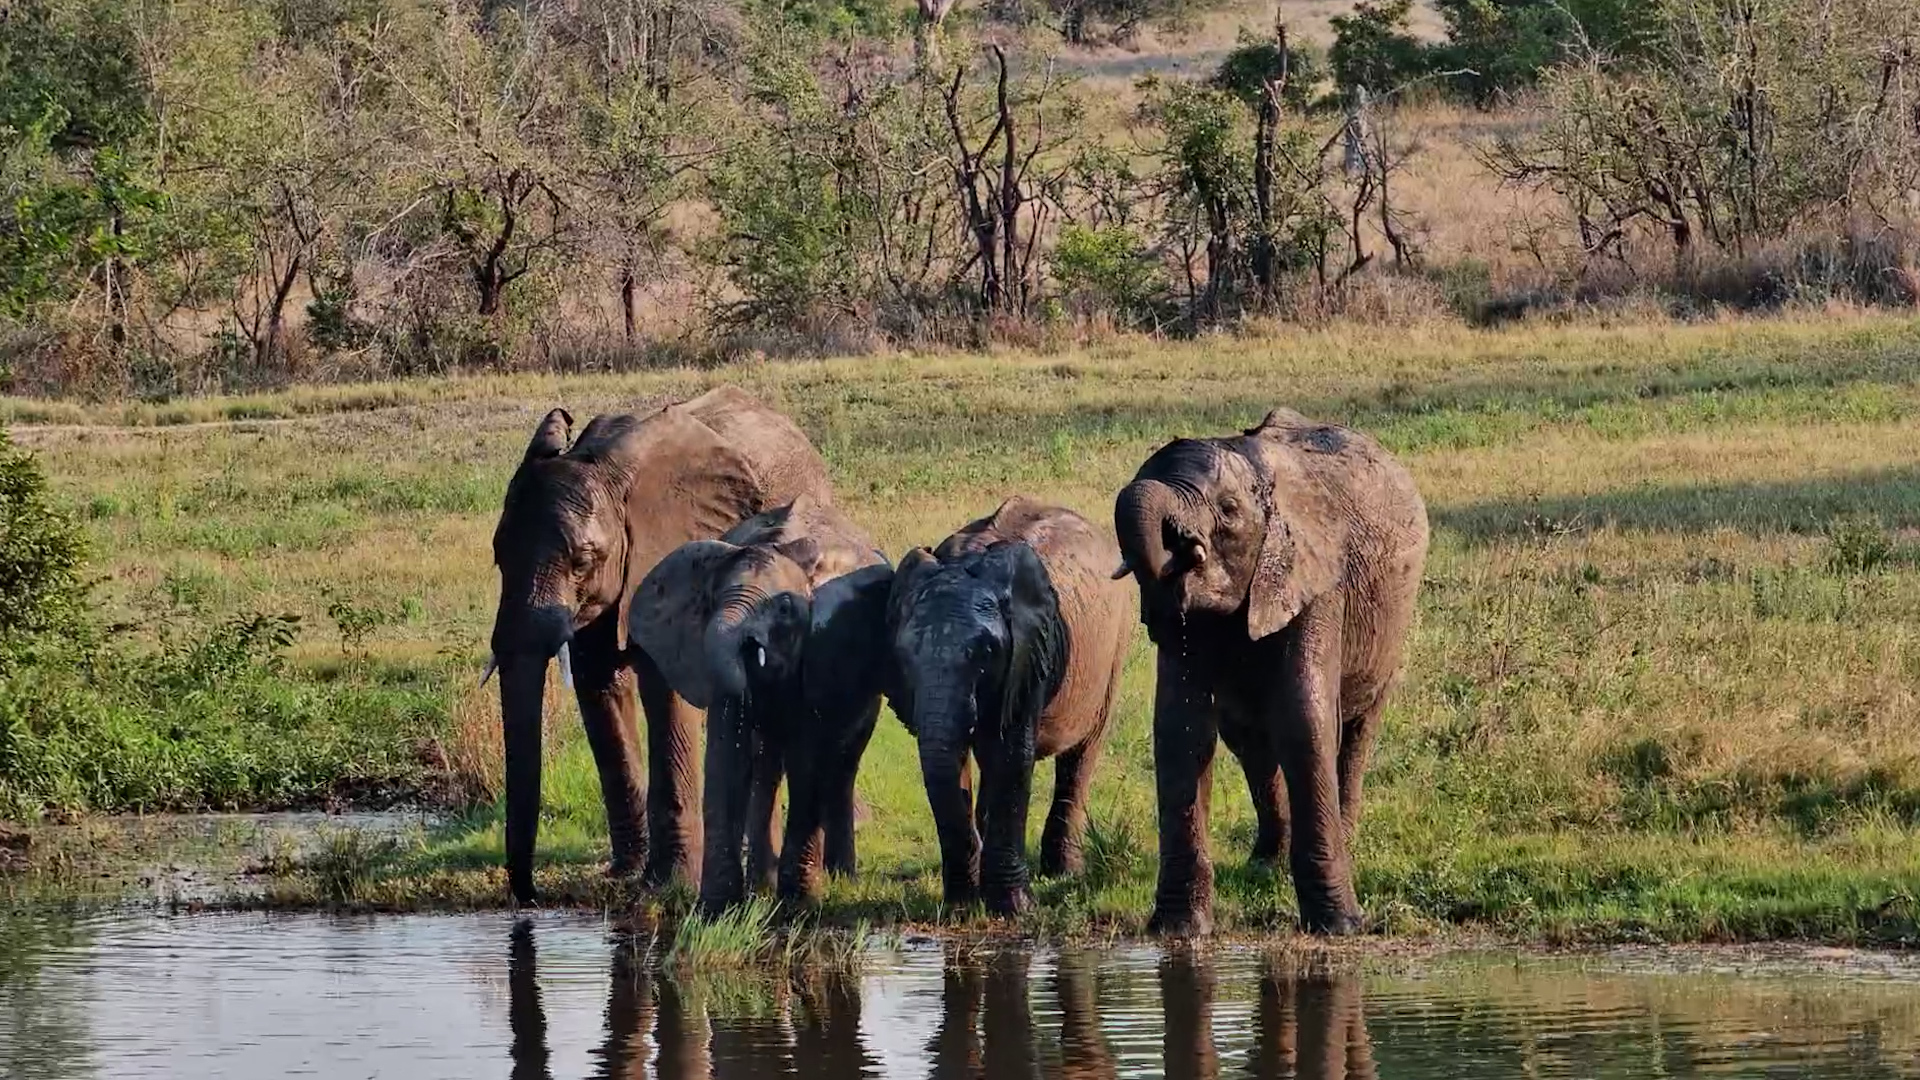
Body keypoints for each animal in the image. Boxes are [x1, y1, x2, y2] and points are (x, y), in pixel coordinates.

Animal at [486, 385, 831, 903]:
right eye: (498, 556)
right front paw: (623, 875)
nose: (532, 899)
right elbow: (597, 686)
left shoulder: (660, 557)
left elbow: (665, 694)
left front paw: (666, 885)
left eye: (582, 561)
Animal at [628, 494, 893, 912]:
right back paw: (764, 882)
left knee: (842, 758)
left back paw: (840, 879)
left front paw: (798, 905)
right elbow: (728, 756)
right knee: (768, 762)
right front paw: (718, 910)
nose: (750, 648)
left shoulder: (826, 646)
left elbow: (808, 755)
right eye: (710, 601)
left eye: (784, 608)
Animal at [888, 496, 1133, 915]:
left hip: (1113, 647)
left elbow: (1010, 754)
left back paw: (1062, 871)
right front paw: (962, 905)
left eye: (987, 652)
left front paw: (1014, 908)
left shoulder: (1031, 653)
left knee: (1083, 750)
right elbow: (956, 760)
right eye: (903, 656)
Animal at [1112, 408, 1428, 937]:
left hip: (1391, 630)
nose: (1179, 553)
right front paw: (1178, 932)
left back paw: (1342, 836)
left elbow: (1305, 719)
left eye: (1228, 510)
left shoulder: (1318, 582)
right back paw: (1266, 862)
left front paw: (1340, 927)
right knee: (1247, 738)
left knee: (1357, 729)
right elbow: (1181, 730)